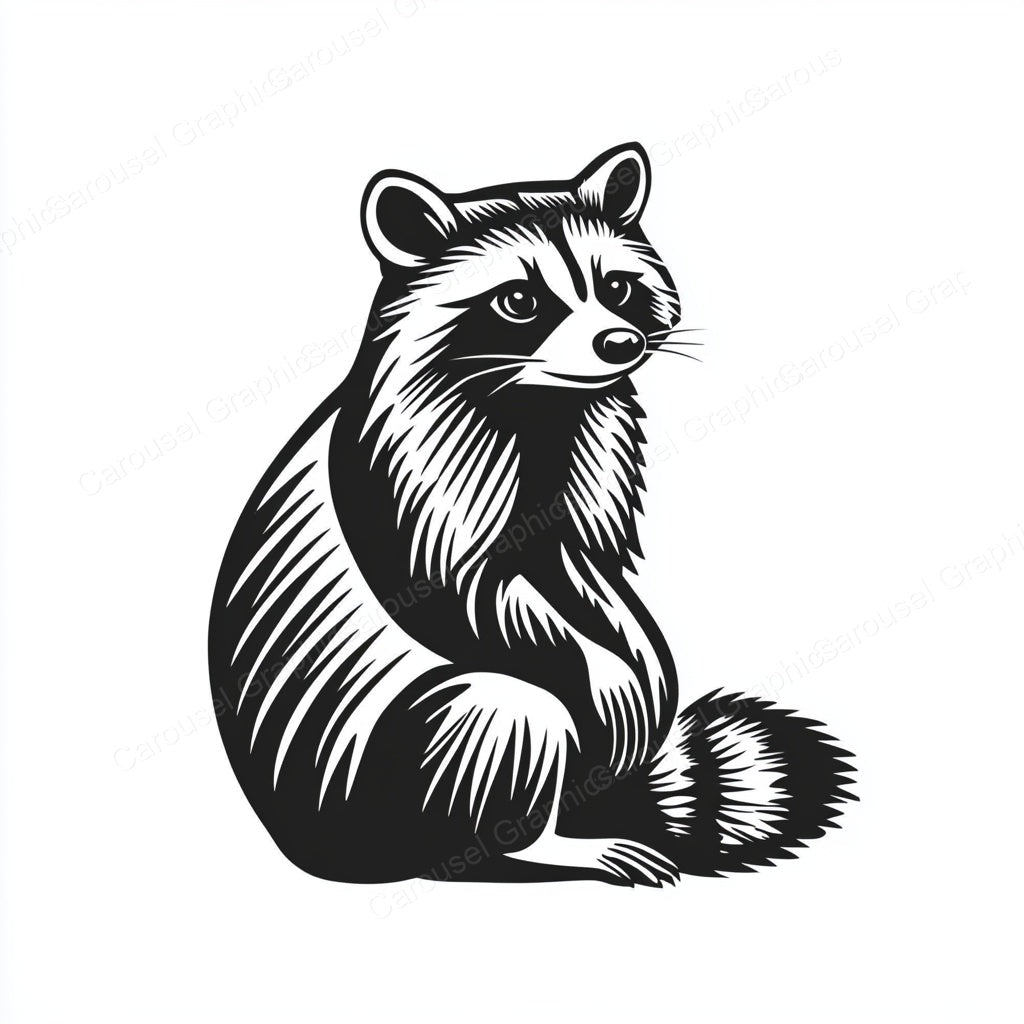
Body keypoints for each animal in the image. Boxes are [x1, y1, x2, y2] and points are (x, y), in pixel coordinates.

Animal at [208, 143, 854, 886]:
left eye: (617, 288)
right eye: (520, 300)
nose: (620, 343)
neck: (540, 403)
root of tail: (308, 846)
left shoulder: (582, 475)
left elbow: (598, 589)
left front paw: (636, 677)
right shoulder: (405, 473)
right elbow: (460, 601)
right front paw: (605, 687)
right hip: (379, 787)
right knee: (511, 706)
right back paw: (536, 837)